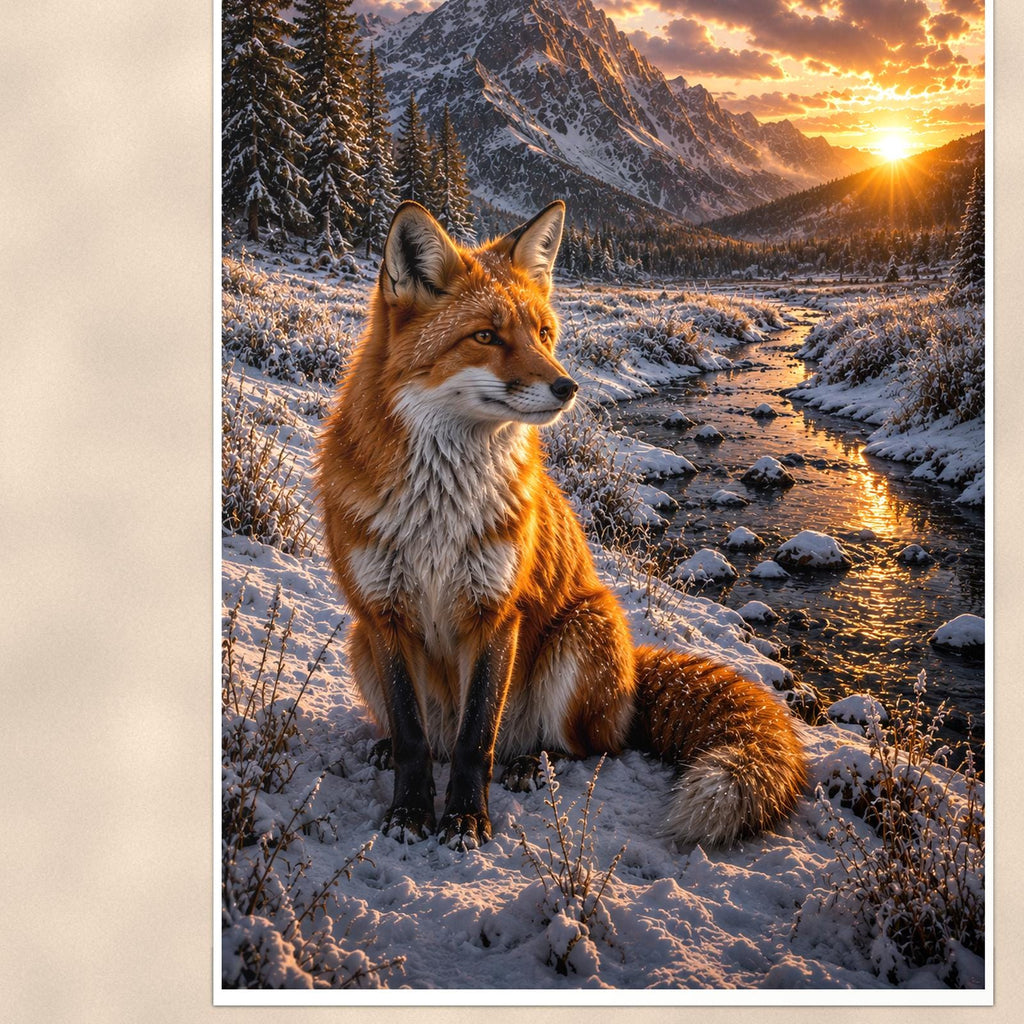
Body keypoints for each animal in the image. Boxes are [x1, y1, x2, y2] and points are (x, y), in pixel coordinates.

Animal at [315, 199, 807, 852]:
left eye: (544, 335)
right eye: (486, 336)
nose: (567, 386)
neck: (438, 512)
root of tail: (632, 677)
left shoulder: (496, 610)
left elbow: (477, 741)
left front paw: (465, 820)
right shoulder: (384, 614)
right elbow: (416, 743)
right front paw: (410, 813)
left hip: (579, 636)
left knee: (587, 747)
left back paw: (533, 762)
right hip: (359, 641)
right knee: (433, 738)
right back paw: (385, 747)